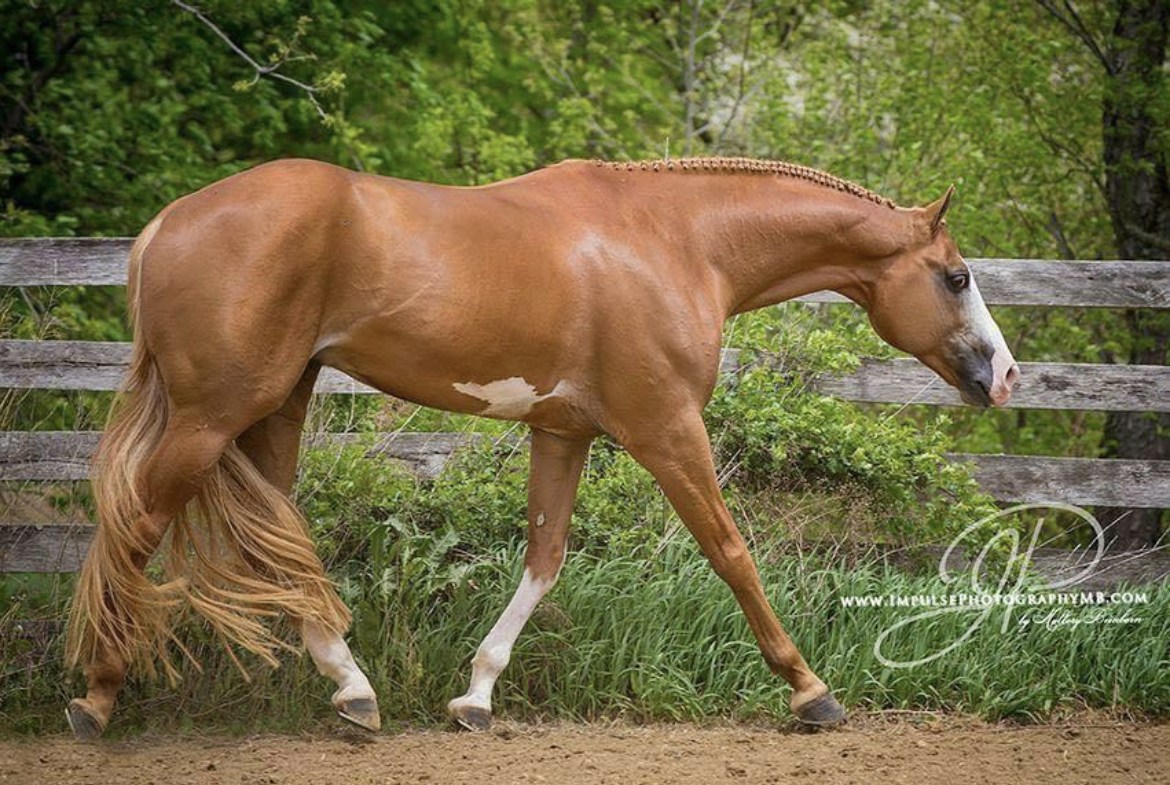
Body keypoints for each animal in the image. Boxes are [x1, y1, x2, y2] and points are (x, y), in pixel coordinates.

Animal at [64, 156, 1015, 739]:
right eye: (956, 276)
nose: (1004, 375)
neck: (677, 241)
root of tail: (166, 223)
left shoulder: (563, 433)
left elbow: (544, 559)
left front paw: (477, 696)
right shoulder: (668, 428)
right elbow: (732, 550)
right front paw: (812, 690)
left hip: (274, 409)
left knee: (273, 541)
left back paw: (354, 689)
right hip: (211, 416)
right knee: (137, 526)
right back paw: (96, 697)